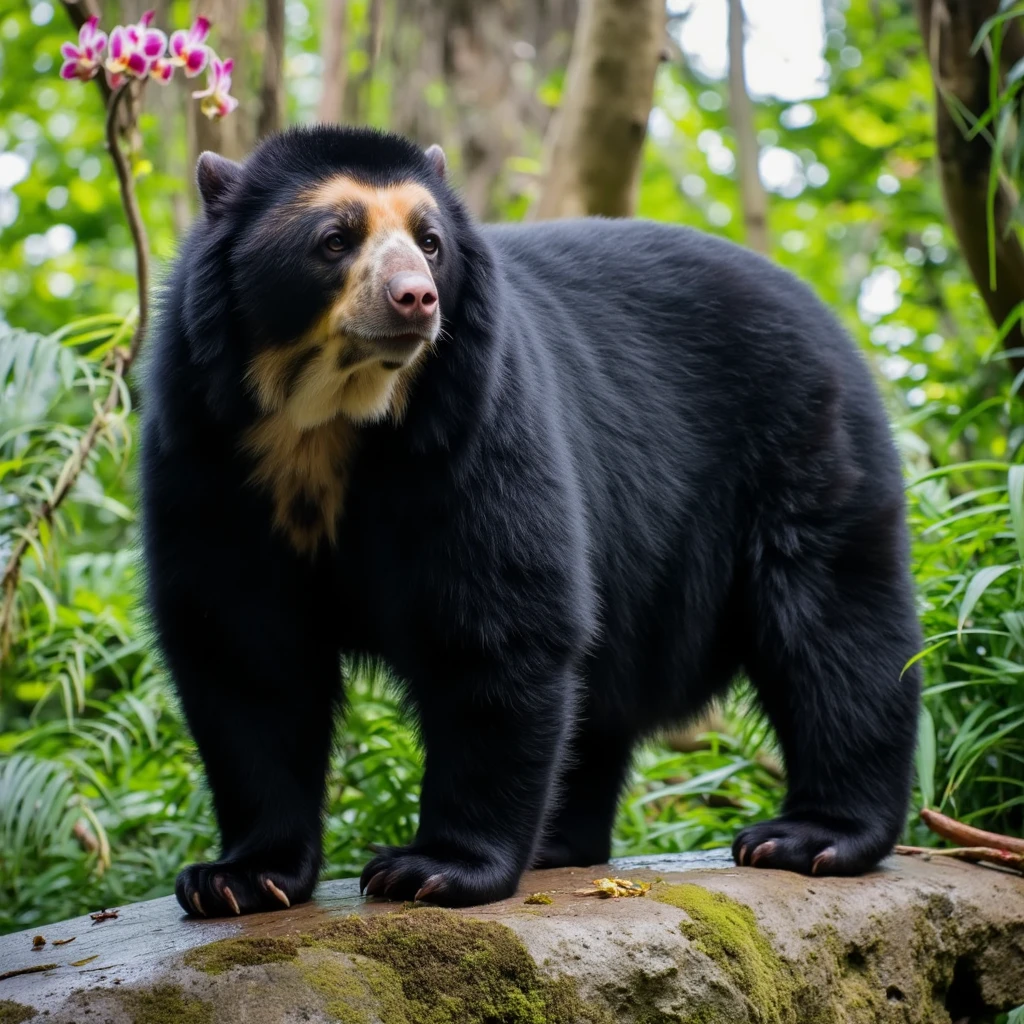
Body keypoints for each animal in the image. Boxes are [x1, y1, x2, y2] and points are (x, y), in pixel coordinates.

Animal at [140, 125, 922, 917]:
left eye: (430, 242)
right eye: (334, 239)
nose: (415, 299)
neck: (327, 420)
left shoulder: (475, 426)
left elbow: (500, 625)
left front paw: (432, 868)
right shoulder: (206, 453)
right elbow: (244, 654)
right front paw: (237, 878)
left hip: (802, 449)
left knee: (833, 627)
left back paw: (810, 836)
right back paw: (560, 842)